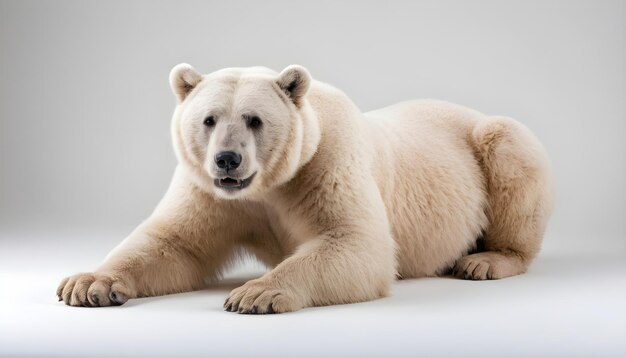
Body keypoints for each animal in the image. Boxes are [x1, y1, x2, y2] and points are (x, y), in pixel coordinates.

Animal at [57, 64, 552, 314]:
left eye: (254, 120)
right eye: (209, 119)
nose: (227, 159)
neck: (265, 185)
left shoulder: (326, 163)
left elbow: (357, 242)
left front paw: (255, 294)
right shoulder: (210, 191)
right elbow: (174, 243)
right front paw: (87, 284)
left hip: (487, 143)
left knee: (508, 154)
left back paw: (484, 261)